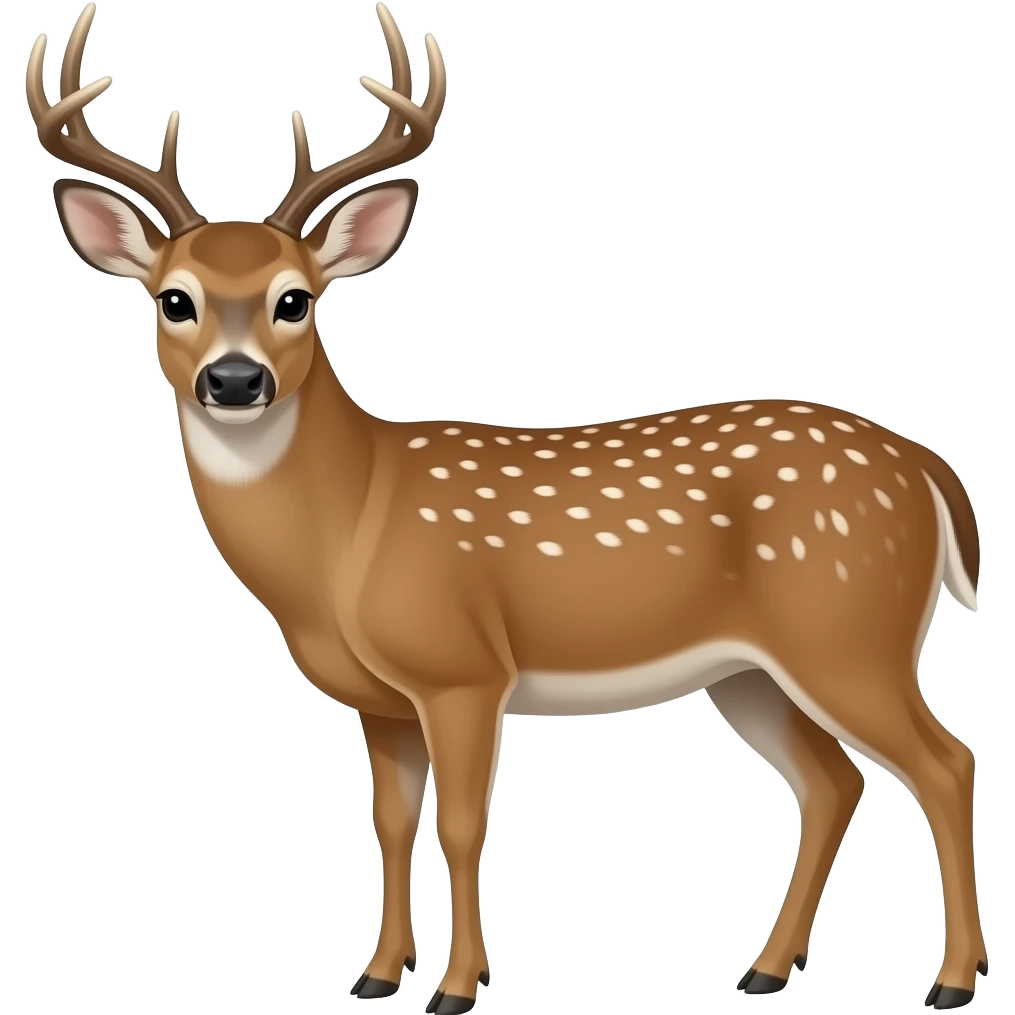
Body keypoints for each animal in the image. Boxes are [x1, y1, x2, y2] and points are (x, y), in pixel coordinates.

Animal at [27, 4, 987, 1012]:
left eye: (297, 299)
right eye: (174, 299)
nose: (235, 380)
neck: (347, 531)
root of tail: (926, 467)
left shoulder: (462, 668)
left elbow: (460, 823)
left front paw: (456, 984)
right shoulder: (382, 699)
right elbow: (389, 822)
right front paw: (376, 974)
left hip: (847, 628)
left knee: (942, 761)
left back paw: (950, 980)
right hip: (751, 671)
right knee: (833, 780)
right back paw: (765, 969)